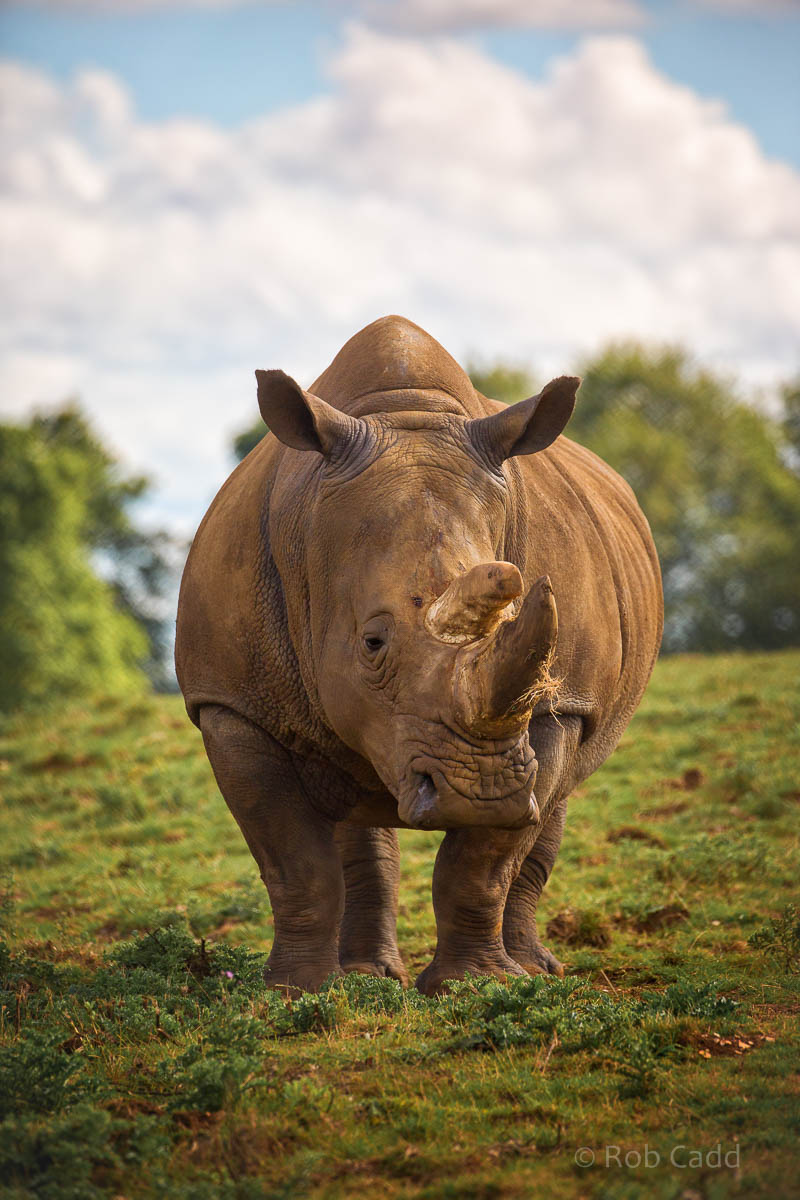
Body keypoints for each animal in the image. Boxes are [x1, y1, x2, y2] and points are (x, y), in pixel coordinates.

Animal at [175, 316, 662, 995]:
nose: (482, 791)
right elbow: (295, 861)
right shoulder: (231, 702)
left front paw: (478, 986)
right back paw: (366, 975)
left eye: (525, 628)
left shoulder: (559, 702)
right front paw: (293, 992)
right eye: (372, 643)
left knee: (547, 805)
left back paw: (535, 972)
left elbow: (483, 862)